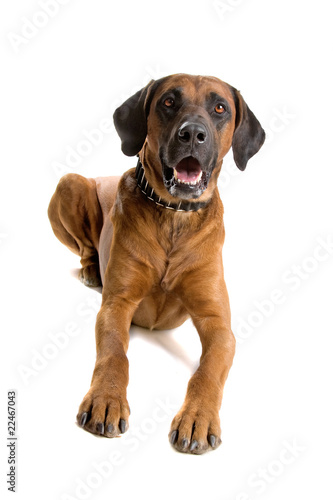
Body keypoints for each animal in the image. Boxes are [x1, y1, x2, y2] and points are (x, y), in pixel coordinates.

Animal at [47, 73, 264, 454]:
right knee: (84, 245)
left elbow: (207, 370)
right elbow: (114, 353)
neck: (173, 215)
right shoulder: (117, 305)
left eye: (220, 108)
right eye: (168, 102)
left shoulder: (218, 323)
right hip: (69, 184)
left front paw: (197, 417)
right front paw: (107, 399)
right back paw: (91, 270)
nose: (192, 133)